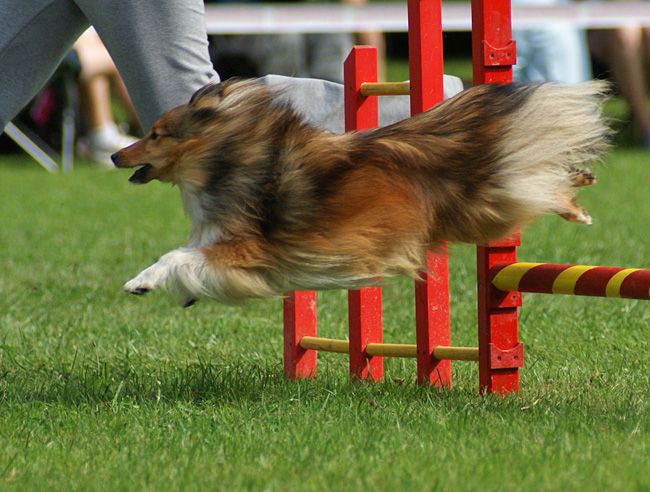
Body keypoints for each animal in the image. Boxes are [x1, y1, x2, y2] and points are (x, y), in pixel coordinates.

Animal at [111, 78, 608, 306]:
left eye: (155, 134)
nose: (115, 155)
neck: (231, 155)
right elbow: (187, 257)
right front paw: (179, 290)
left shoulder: (247, 248)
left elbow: (177, 255)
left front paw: (140, 282)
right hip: (482, 209)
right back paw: (581, 185)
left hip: (484, 205)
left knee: (539, 185)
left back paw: (577, 202)